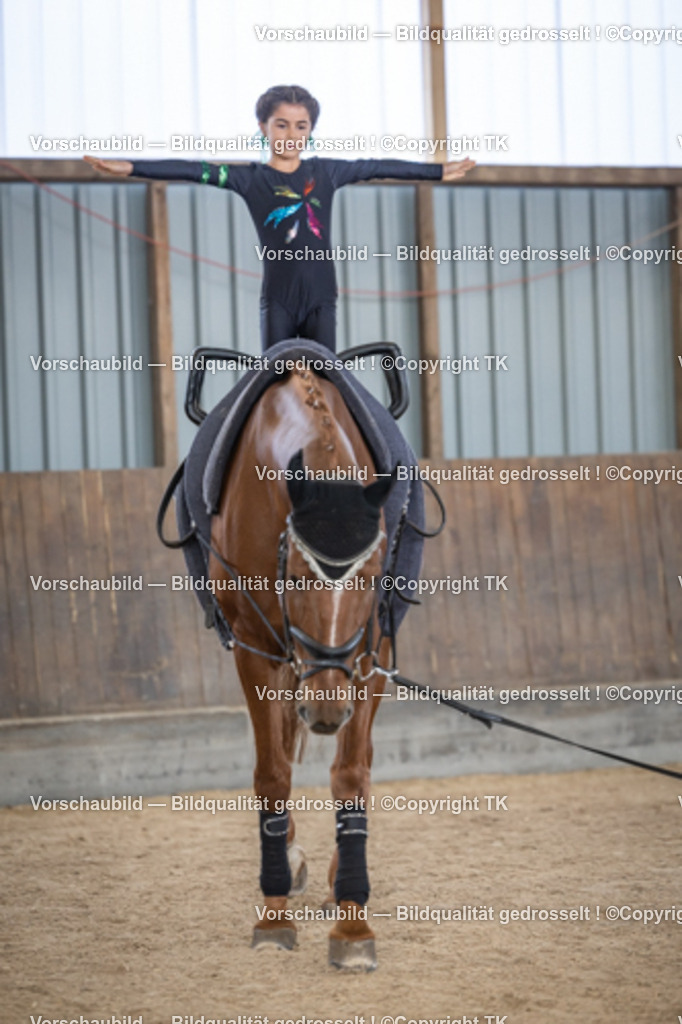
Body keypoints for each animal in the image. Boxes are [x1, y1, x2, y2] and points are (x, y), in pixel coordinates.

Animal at [208, 364, 395, 970]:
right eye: (295, 577)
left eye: (370, 576)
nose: (327, 710)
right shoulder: (254, 648)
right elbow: (272, 774)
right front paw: (273, 916)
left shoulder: (373, 650)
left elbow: (352, 773)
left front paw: (353, 924)